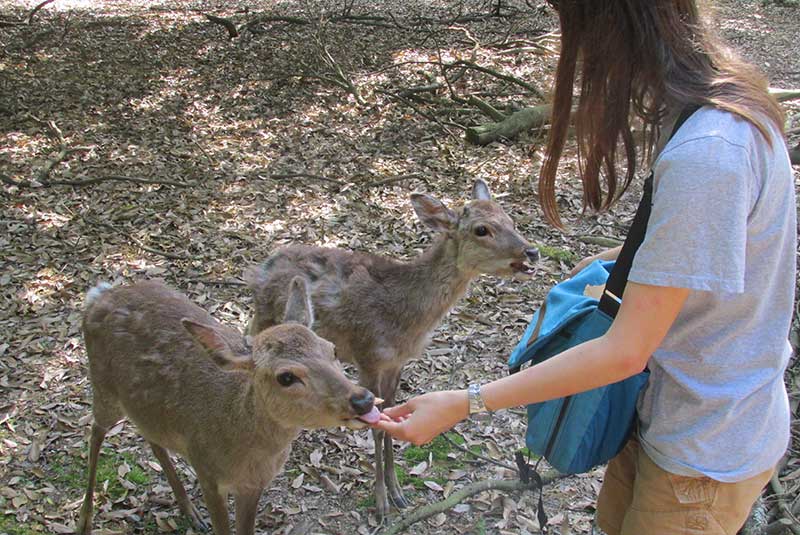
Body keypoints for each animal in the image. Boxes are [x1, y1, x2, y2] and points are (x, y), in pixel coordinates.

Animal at [77, 277, 378, 535]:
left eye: (332, 349)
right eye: (286, 377)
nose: (362, 399)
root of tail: (98, 296)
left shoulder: (253, 485)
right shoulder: (206, 471)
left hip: (145, 410)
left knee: (151, 437)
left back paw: (190, 511)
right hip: (103, 386)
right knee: (96, 431)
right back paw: (84, 521)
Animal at [245, 179, 539, 519]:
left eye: (510, 219)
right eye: (482, 229)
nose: (532, 251)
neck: (406, 320)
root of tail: (260, 267)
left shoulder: (398, 363)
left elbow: (391, 419)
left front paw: (398, 493)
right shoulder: (368, 357)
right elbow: (376, 427)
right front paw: (383, 503)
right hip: (264, 318)